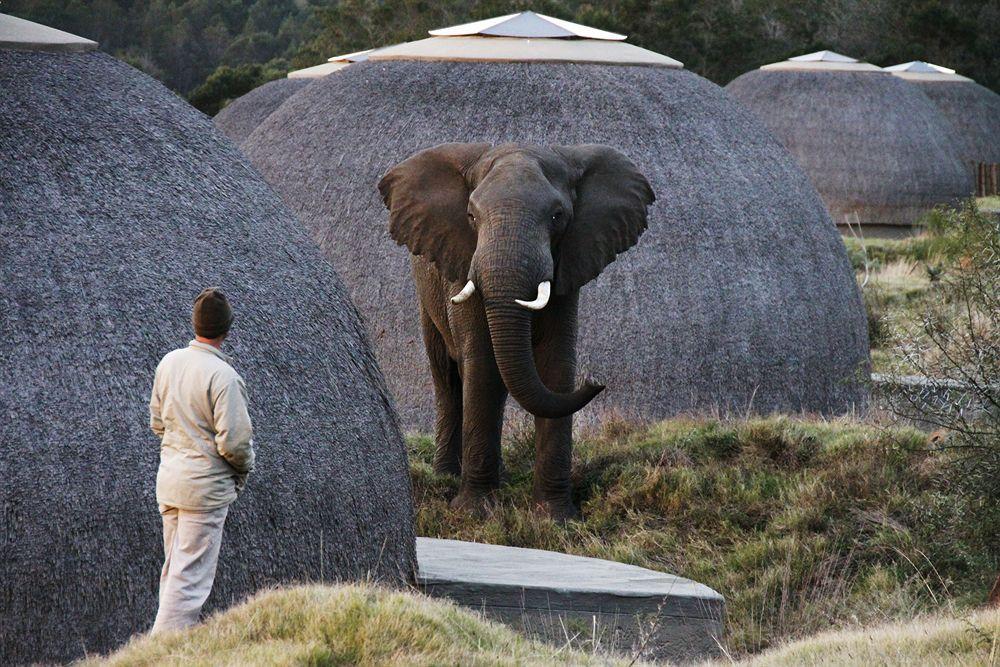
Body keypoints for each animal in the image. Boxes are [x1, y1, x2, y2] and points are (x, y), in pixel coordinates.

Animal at [378, 144, 652, 520]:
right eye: (471, 216)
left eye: (557, 216)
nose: (596, 381)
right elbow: (482, 367)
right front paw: (475, 512)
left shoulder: (568, 268)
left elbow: (555, 368)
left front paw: (555, 517)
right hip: (426, 289)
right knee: (447, 376)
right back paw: (447, 476)